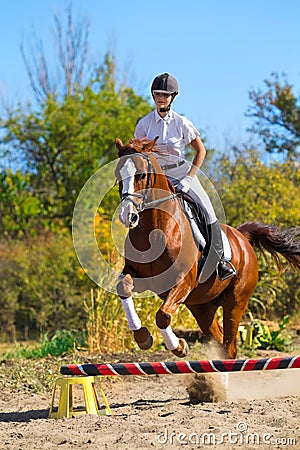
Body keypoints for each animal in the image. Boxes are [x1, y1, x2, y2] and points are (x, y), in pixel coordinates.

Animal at [114, 137, 300, 358]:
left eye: (142, 175)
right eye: (118, 174)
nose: (128, 215)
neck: (155, 229)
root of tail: (242, 238)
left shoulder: (182, 282)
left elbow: (162, 316)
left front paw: (179, 346)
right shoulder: (138, 275)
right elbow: (123, 288)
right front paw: (143, 337)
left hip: (235, 302)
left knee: (230, 346)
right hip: (201, 306)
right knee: (220, 341)